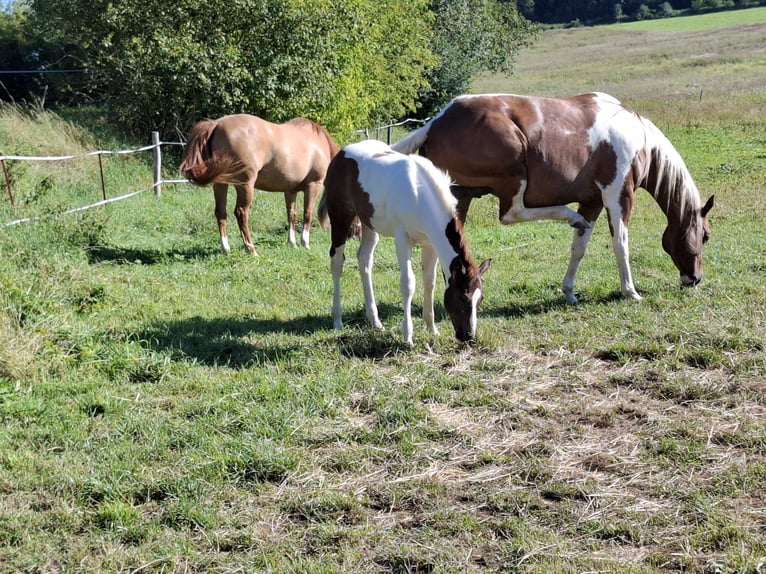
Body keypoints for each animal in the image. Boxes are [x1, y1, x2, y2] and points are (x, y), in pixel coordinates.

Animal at [180, 115, 340, 254]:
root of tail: (217, 124)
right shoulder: (313, 185)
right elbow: (308, 214)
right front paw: (305, 243)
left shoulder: (290, 190)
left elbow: (291, 215)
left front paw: (292, 242)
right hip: (245, 185)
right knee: (241, 213)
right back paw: (251, 249)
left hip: (220, 184)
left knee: (221, 213)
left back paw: (226, 249)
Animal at [318, 141, 492, 346]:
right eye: (463, 298)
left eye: (480, 299)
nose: (468, 336)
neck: (419, 195)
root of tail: (340, 154)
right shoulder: (402, 238)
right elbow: (408, 283)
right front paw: (408, 336)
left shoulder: (429, 244)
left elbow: (429, 281)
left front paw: (432, 328)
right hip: (341, 218)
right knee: (337, 262)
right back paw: (337, 320)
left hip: (369, 224)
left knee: (364, 260)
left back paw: (375, 321)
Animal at [392, 92, 716, 304]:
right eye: (706, 236)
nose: (695, 278)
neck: (638, 138)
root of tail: (436, 122)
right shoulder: (618, 196)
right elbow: (620, 245)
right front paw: (630, 291)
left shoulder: (592, 202)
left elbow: (579, 248)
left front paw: (569, 291)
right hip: (512, 174)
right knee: (511, 213)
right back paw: (568, 215)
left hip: (459, 197)